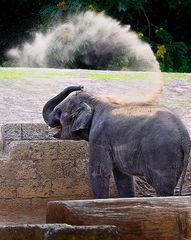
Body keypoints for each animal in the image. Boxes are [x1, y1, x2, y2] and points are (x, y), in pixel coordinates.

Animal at [42, 85, 190, 198]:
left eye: (59, 112)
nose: (80, 86)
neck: (96, 101)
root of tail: (184, 135)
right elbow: (123, 176)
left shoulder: (99, 136)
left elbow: (99, 172)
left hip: (162, 153)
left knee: (162, 187)